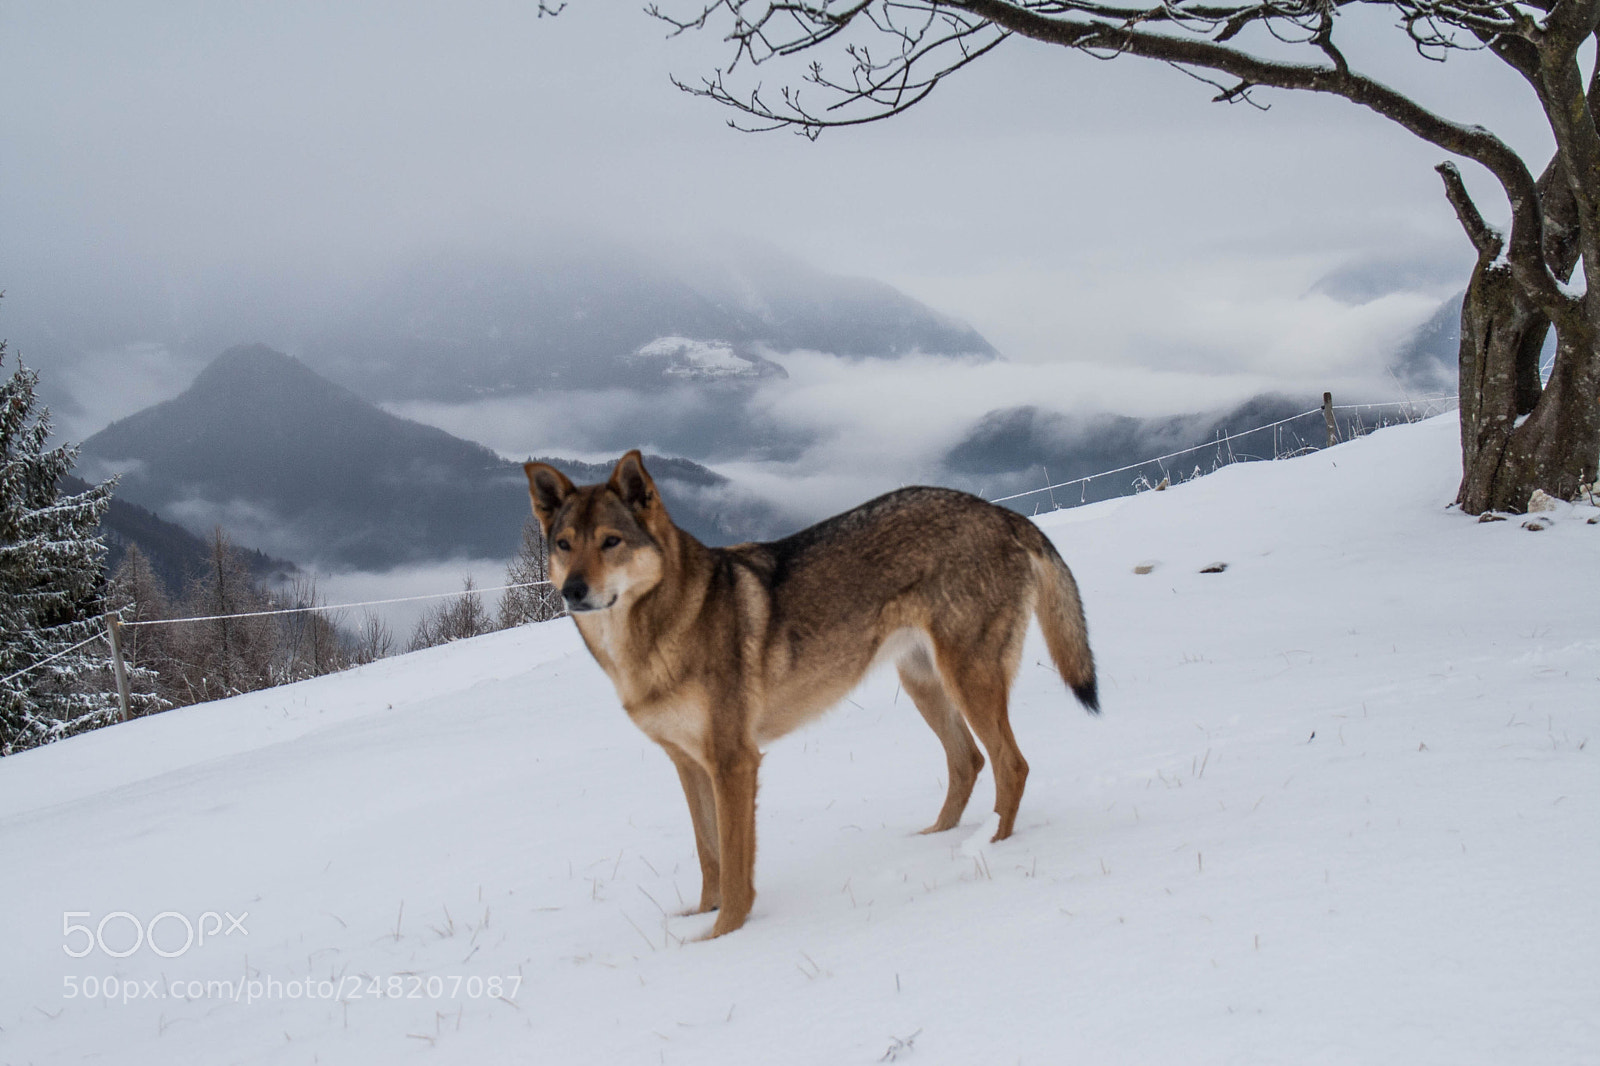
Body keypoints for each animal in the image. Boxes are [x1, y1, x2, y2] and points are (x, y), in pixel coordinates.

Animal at [522, 451, 1098, 938]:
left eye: (610, 542)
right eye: (565, 545)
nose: (573, 592)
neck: (651, 639)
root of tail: (1001, 512)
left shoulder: (734, 761)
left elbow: (734, 865)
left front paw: (720, 937)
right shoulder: (688, 764)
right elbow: (709, 856)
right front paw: (701, 914)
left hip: (967, 679)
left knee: (1011, 764)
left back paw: (991, 849)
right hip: (923, 684)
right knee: (969, 761)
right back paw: (933, 841)